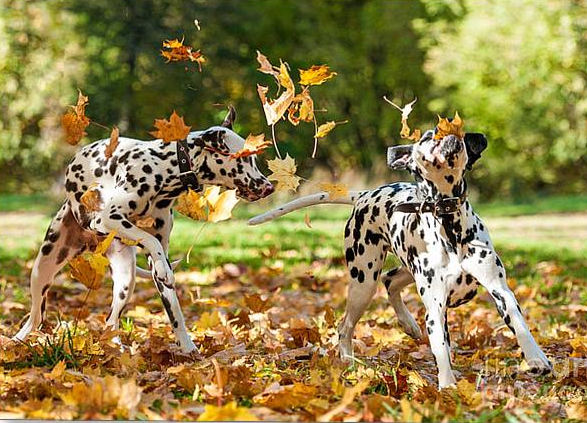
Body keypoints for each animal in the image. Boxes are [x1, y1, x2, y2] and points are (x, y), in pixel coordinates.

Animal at [13, 107, 276, 354]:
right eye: (244, 159)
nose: (269, 188)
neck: (166, 169)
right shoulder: (108, 219)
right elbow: (149, 239)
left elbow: (174, 310)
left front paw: (188, 348)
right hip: (43, 268)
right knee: (36, 316)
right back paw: (16, 342)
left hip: (125, 280)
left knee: (111, 321)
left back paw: (115, 348)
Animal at [250, 121, 552, 388]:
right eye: (428, 136)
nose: (445, 133)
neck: (449, 222)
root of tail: (365, 193)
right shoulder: (435, 307)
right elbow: (441, 349)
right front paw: (447, 386)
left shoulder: (499, 290)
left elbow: (519, 324)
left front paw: (536, 359)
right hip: (364, 281)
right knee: (346, 324)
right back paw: (349, 361)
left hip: (405, 269)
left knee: (390, 280)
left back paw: (408, 324)